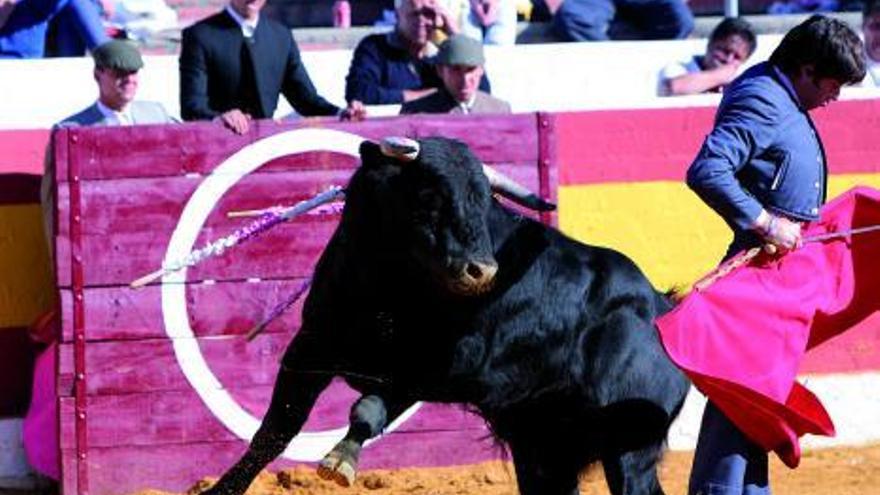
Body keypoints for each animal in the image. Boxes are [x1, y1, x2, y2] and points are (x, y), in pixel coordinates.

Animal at [203, 138, 692, 495]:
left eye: (483, 199)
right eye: (428, 196)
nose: (483, 271)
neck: (383, 287)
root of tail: (662, 306)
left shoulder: (437, 370)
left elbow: (369, 410)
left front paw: (341, 460)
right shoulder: (311, 349)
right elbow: (273, 433)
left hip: (629, 448)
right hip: (542, 445)